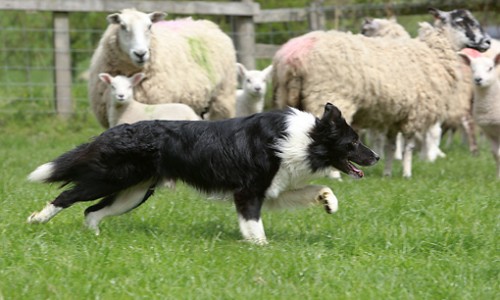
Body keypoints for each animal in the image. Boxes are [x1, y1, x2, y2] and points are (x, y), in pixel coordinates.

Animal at [27, 103, 378, 244]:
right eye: (353, 143)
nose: (375, 157)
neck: (305, 139)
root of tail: (114, 130)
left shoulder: (271, 190)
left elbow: (316, 188)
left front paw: (328, 201)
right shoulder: (248, 192)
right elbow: (255, 228)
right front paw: (262, 249)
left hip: (133, 193)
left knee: (91, 211)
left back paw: (96, 239)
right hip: (111, 179)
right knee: (68, 195)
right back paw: (37, 219)